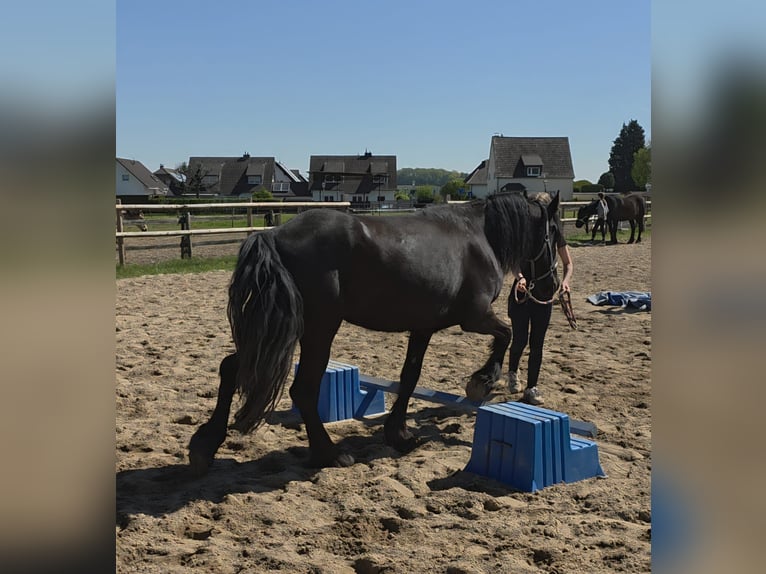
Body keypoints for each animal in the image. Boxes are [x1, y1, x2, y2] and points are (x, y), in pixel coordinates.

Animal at [188, 191, 562, 473]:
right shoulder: (475, 317)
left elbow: (410, 376)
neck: (479, 236)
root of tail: (274, 235)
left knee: (232, 367)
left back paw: (205, 446)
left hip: (282, 331)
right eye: (554, 234)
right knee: (302, 390)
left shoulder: (424, 327)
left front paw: (399, 435)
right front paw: (481, 382)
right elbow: (506, 335)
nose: (552, 286)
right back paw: (329, 454)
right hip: (317, 331)